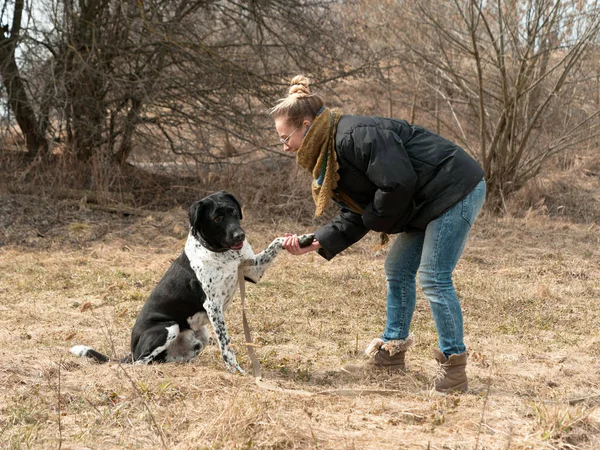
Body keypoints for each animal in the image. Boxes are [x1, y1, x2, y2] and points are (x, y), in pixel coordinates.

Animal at [70, 190, 314, 372]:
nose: (240, 236)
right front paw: (237, 372)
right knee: (141, 362)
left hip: (201, 336)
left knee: (165, 359)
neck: (223, 253)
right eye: (217, 218)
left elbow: (277, 241)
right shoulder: (213, 306)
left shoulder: (253, 271)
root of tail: (130, 351)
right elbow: (227, 345)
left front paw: (303, 238)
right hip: (168, 328)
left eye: (233, 211)